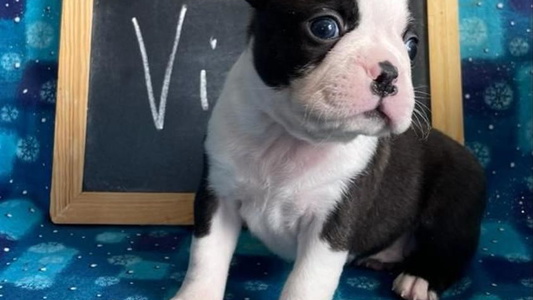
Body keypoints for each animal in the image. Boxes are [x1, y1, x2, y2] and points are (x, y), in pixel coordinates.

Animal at [172, 1, 484, 298]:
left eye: (412, 46)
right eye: (324, 28)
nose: (389, 74)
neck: (289, 136)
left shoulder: (331, 222)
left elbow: (306, 283)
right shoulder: (218, 197)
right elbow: (204, 259)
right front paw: (194, 296)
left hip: (454, 196)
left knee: (449, 247)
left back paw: (420, 277)